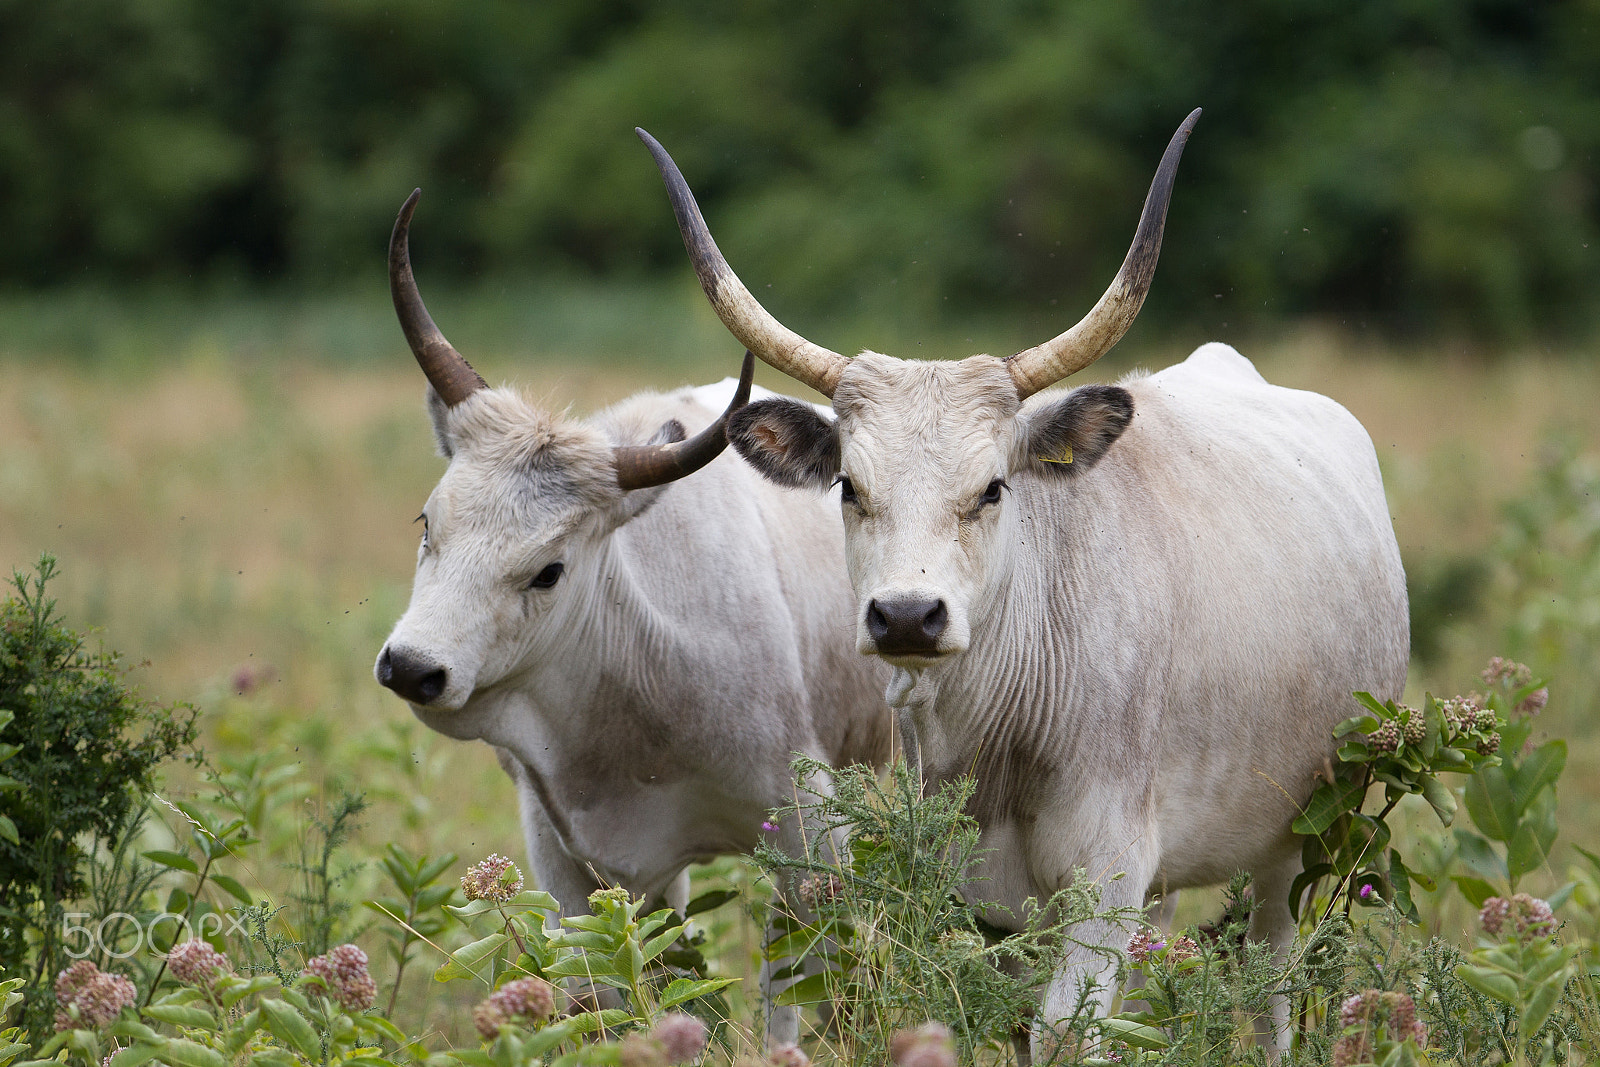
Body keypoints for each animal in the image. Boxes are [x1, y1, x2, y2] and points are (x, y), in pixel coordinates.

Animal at [377, 191, 902, 1043]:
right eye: (428, 522)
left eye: (549, 569)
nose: (414, 667)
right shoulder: (568, 856)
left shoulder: (809, 834)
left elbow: (787, 986)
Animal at [636, 110, 1414, 1049]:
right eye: (848, 486)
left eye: (993, 487)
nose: (907, 616)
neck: (1001, 740)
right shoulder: (987, 902)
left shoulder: (1105, 883)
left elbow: (1066, 1033)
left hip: (1305, 837)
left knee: (1270, 979)